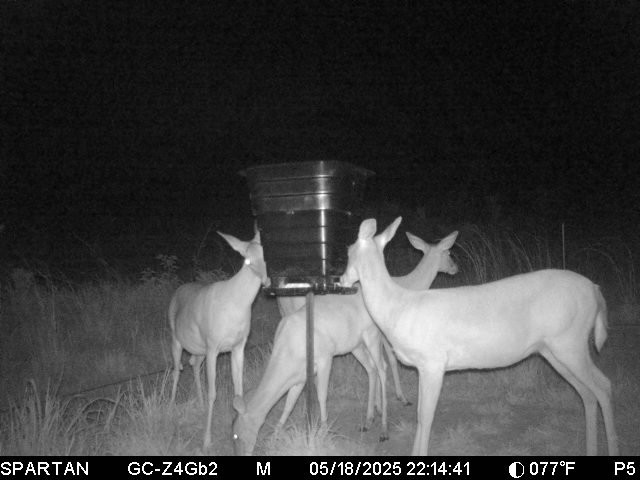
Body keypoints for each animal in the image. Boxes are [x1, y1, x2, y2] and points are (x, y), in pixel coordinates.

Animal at [168, 227, 269, 450]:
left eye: (265, 255)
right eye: (247, 259)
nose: (266, 281)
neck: (237, 306)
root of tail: (177, 291)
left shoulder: (238, 346)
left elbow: (238, 390)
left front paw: (237, 425)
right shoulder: (213, 345)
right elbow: (213, 392)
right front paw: (206, 440)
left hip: (200, 348)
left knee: (193, 363)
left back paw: (200, 403)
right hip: (176, 338)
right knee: (176, 370)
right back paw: (169, 407)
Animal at [231, 230, 459, 455]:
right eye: (233, 435)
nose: (455, 267)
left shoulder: (325, 357)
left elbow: (322, 395)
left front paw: (324, 431)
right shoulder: (299, 375)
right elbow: (289, 403)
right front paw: (275, 436)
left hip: (371, 335)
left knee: (382, 367)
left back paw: (383, 428)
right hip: (355, 344)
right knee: (372, 369)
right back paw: (369, 419)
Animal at [339, 217, 619, 456]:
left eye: (349, 251)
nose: (341, 280)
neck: (400, 306)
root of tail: (596, 290)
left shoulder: (433, 362)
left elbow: (425, 417)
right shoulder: (421, 366)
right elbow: (420, 414)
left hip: (570, 342)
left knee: (603, 385)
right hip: (554, 349)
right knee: (587, 393)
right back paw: (590, 449)